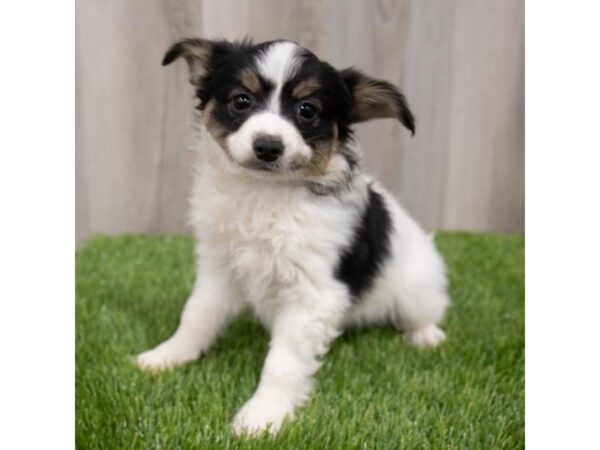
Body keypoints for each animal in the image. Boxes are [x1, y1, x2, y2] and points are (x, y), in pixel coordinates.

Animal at [137, 39, 450, 436]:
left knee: (422, 312)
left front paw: (262, 416)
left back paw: (425, 335)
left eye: (307, 110)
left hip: (415, 289)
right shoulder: (219, 268)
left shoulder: (312, 296)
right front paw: (169, 355)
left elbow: (282, 363)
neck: (264, 192)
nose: (268, 146)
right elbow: (196, 315)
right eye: (241, 101)